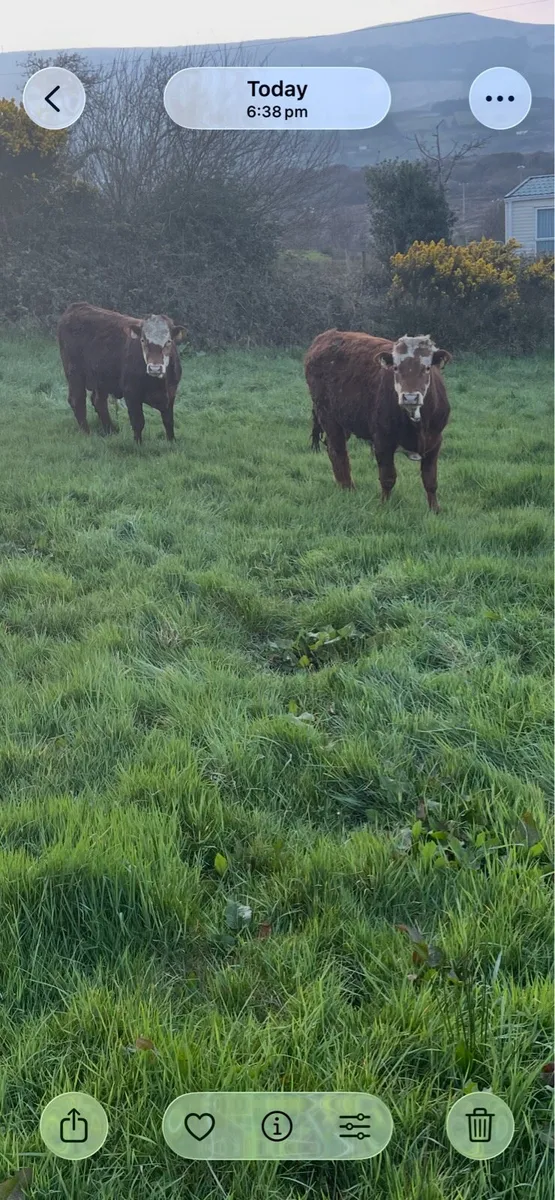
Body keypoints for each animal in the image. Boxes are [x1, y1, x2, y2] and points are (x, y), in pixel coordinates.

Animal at [58, 302, 186, 443]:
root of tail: (78, 306)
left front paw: (172, 441)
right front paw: (138, 444)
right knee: (77, 400)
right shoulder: (131, 393)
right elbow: (138, 422)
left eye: (168, 341)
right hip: (74, 373)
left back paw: (110, 430)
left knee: (99, 401)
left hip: (101, 379)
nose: (155, 368)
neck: (159, 384)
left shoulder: (171, 393)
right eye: (143, 340)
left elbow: (168, 421)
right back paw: (87, 433)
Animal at [305, 329, 452, 512]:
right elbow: (388, 477)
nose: (410, 397)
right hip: (328, 417)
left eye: (426, 368)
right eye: (396, 368)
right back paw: (348, 488)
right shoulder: (382, 441)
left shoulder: (435, 441)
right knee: (338, 452)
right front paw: (384, 506)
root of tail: (327, 335)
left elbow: (430, 480)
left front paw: (435, 509)